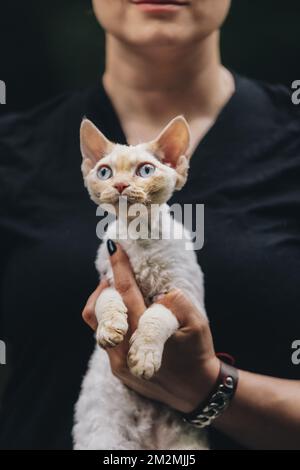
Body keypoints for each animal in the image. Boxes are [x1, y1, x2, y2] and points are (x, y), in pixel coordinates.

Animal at [73, 115, 209, 450]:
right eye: (104, 172)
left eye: (145, 170)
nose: (120, 185)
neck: (139, 236)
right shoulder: (106, 279)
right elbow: (108, 299)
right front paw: (111, 327)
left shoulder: (185, 297)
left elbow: (157, 315)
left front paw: (144, 356)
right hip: (105, 438)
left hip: (186, 443)